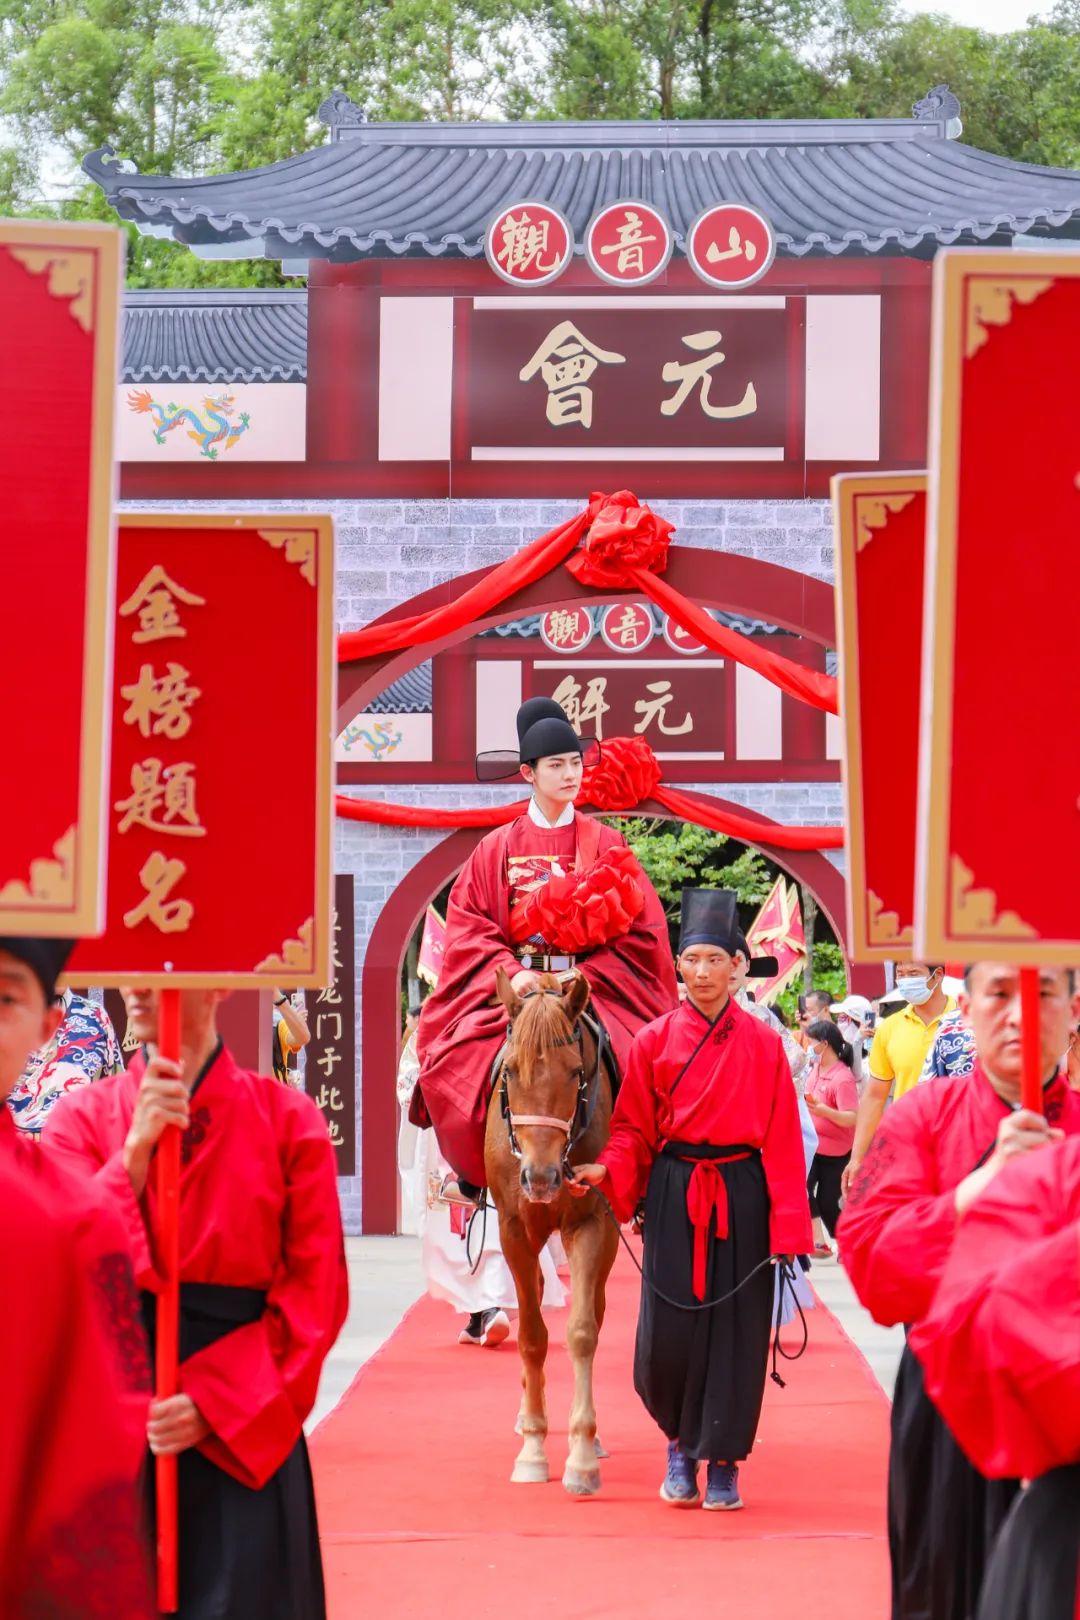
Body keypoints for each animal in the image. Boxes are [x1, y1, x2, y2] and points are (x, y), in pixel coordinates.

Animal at [485, 965, 621, 1496]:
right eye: (510, 1072)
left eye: (575, 1073)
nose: (541, 1178)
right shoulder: (512, 1226)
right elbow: (531, 1337)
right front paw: (534, 1450)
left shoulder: (592, 1222)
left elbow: (583, 1331)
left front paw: (581, 1457)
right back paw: (528, 1416)